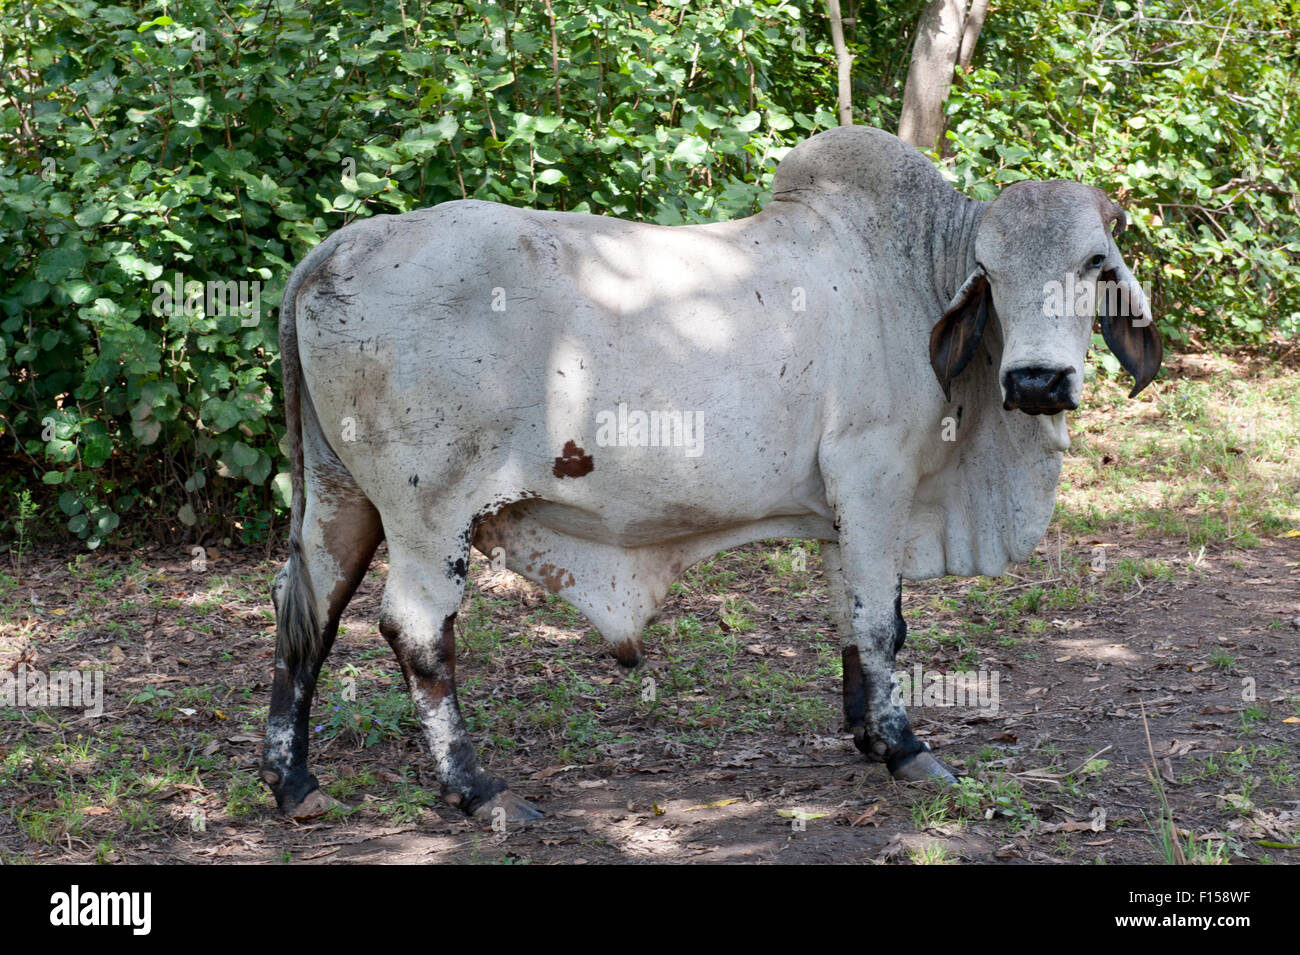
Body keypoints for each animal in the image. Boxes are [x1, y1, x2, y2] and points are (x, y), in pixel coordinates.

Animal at [261, 123, 1159, 821]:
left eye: (1093, 262)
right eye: (992, 271)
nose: (1036, 382)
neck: (909, 275)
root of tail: (341, 244)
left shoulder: (844, 507)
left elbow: (857, 619)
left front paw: (867, 735)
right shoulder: (876, 478)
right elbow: (880, 625)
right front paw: (907, 748)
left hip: (341, 497)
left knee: (308, 610)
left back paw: (292, 779)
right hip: (428, 512)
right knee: (416, 631)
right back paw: (477, 789)